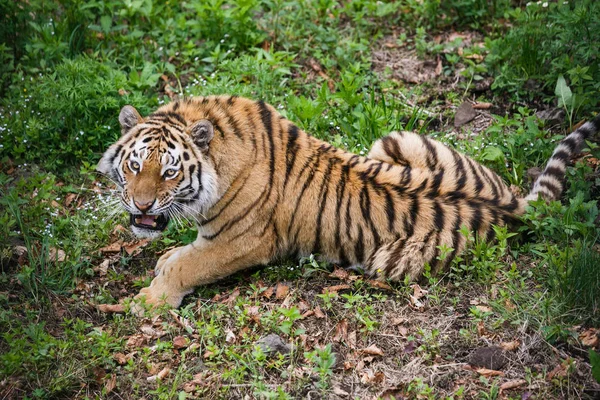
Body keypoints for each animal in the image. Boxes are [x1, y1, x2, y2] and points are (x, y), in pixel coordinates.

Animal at [96, 95, 596, 310]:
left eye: (169, 172)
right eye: (134, 165)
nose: (142, 207)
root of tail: (513, 202)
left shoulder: (244, 241)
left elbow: (189, 264)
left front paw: (151, 299)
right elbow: (183, 254)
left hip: (387, 259)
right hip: (396, 139)